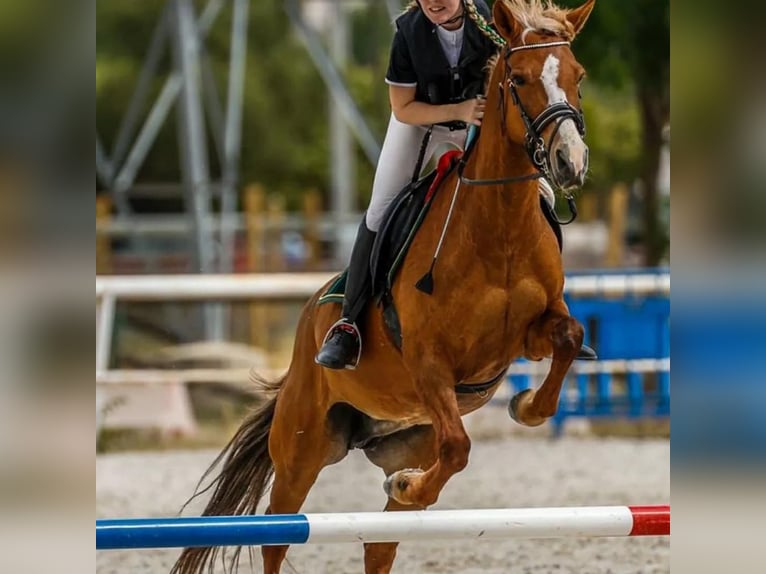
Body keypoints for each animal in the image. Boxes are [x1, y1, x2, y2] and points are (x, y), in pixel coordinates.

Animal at [177, 1, 596, 574]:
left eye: (579, 76)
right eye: (519, 79)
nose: (570, 162)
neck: (498, 229)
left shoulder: (525, 336)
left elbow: (569, 337)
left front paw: (526, 405)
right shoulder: (429, 362)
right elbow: (460, 446)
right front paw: (417, 483)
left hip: (407, 435)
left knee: (382, 536)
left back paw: (406, 482)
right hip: (303, 446)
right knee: (277, 533)